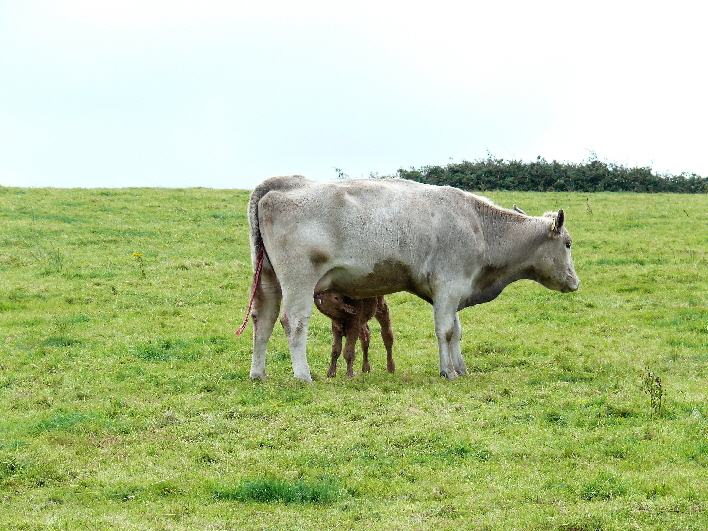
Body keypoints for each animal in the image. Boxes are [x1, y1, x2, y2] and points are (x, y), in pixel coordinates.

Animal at [241, 176, 580, 382]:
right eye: (568, 243)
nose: (574, 282)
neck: (480, 226)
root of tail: (282, 184)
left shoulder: (453, 292)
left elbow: (456, 332)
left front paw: (461, 368)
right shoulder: (448, 285)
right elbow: (445, 331)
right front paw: (447, 371)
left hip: (267, 278)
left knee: (263, 320)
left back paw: (258, 374)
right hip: (299, 280)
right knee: (293, 322)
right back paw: (303, 376)